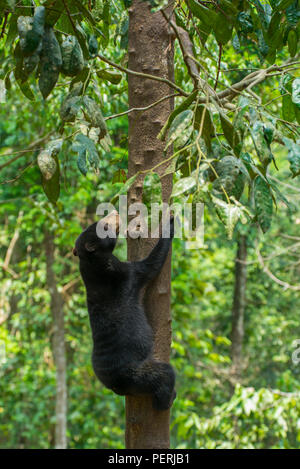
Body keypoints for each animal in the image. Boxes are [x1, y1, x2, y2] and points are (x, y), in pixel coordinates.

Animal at [73, 210, 176, 408]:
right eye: (104, 226)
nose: (114, 211)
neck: (92, 262)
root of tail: (115, 385)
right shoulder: (125, 273)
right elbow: (150, 265)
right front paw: (172, 221)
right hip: (138, 373)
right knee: (165, 373)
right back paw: (166, 400)